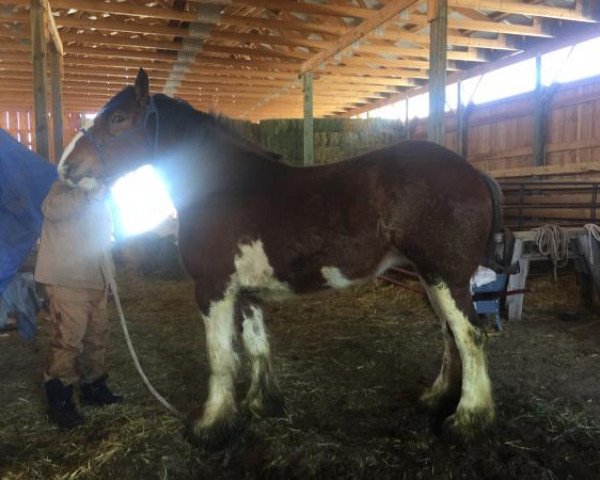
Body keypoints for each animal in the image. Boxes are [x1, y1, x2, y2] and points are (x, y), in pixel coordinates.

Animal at [59, 67, 502, 446]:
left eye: (118, 119)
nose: (67, 167)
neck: (221, 187)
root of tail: (473, 173)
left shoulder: (212, 289)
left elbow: (220, 357)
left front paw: (210, 425)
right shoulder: (245, 293)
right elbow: (256, 347)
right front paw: (261, 404)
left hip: (445, 276)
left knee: (470, 336)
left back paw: (466, 420)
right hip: (431, 277)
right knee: (449, 335)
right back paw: (436, 399)